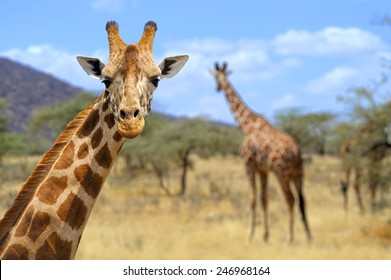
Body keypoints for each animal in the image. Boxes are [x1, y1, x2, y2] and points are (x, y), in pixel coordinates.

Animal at [210, 63, 314, 243]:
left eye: (216, 77)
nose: (217, 88)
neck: (247, 126)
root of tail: (296, 152)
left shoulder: (249, 165)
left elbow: (252, 199)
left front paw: (249, 235)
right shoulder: (263, 170)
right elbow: (264, 199)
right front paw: (265, 235)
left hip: (281, 173)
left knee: (291, 200)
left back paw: (289, 238)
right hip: (298, 173)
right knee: (302, 200)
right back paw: (308, 236)